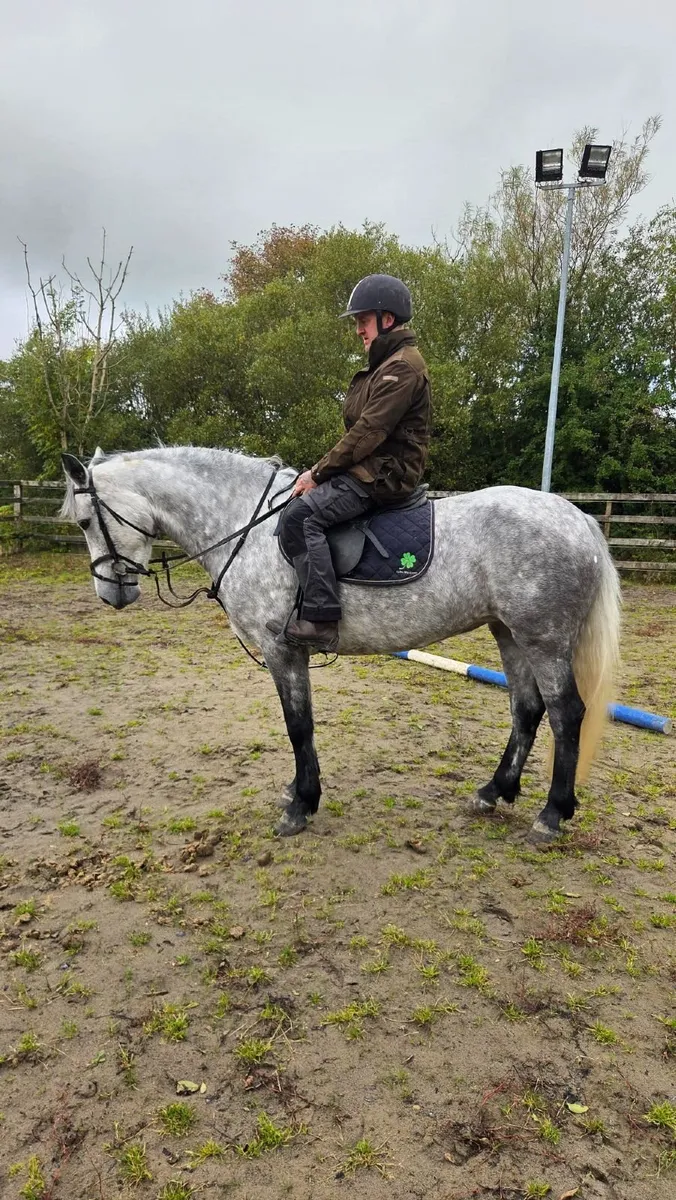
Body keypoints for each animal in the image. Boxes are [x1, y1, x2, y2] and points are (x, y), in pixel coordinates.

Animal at [60, 446, 621, 841]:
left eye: (86, 521)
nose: (110, 594)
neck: (243, 525)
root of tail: (579, 519)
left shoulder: (282, 651)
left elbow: (298, 726)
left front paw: (301, 805)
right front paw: (297, 792)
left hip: (543, 639)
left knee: (567, 714)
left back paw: (552, 814)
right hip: (509, 633)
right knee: (526, 709)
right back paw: (494, 791)